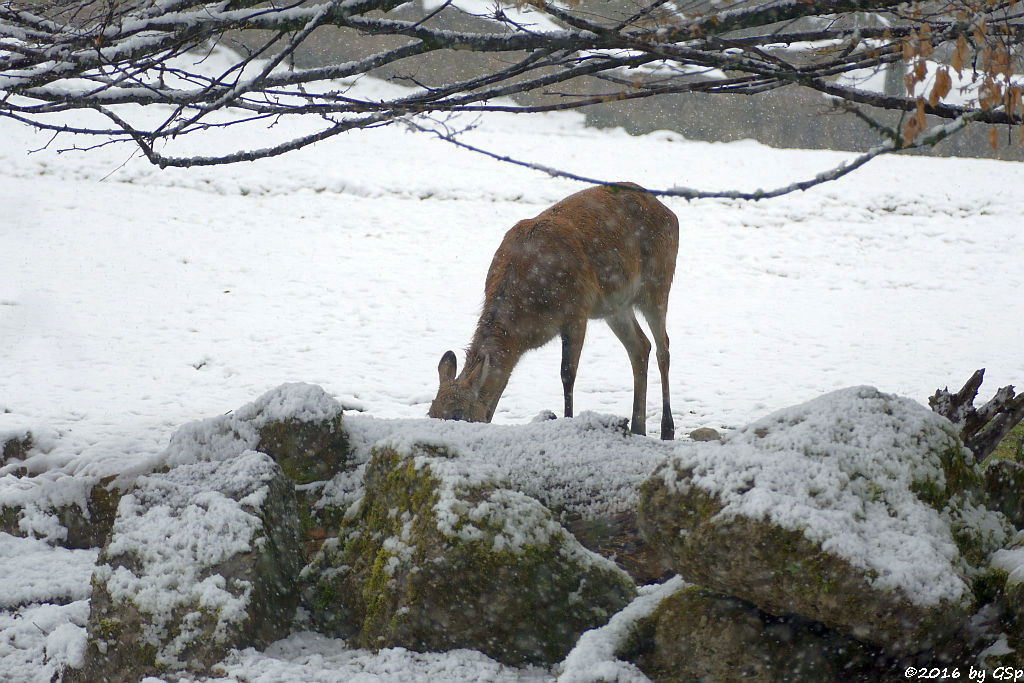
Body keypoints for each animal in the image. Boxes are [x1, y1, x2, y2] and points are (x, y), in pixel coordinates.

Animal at [430, 181, 679, 440]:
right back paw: (638, 428)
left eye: (460, 414)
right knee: (640, 346)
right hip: (616, 304)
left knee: (663, 347)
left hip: (659, 281)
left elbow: (567, 374)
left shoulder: (577, 310)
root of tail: (670, 213)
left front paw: (568, 420)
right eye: (431, 412)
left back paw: (667, 429)